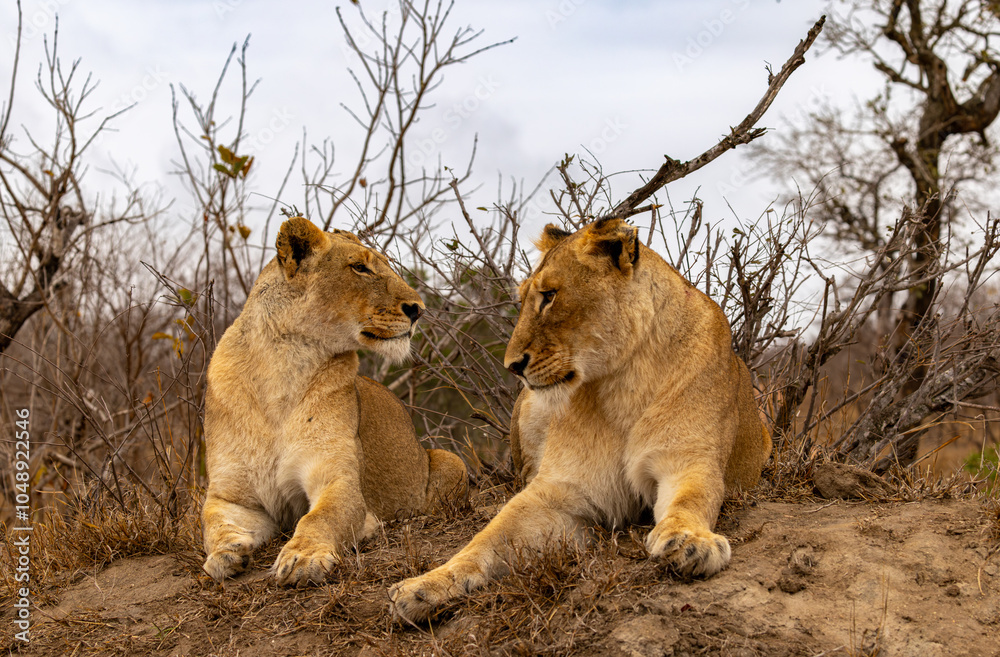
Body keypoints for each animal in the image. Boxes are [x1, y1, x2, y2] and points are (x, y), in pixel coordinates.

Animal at [201, 216, 468, 586]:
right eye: (359, 268)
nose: (419, 310)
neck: (282, 364)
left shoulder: (338, 479)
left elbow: (320, 517)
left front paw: (304, 557)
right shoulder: (231, 495)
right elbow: (213, 523)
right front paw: (224, 555)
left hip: (449, 460)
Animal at [389, 216, 771, 622]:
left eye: (550, 295)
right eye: (524, 299)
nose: (512, 366)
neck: (623, 379)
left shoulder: (688, 460)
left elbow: (691, 499)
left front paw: (690, 542)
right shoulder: (561, 488)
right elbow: (487, 539)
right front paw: (424, 586)